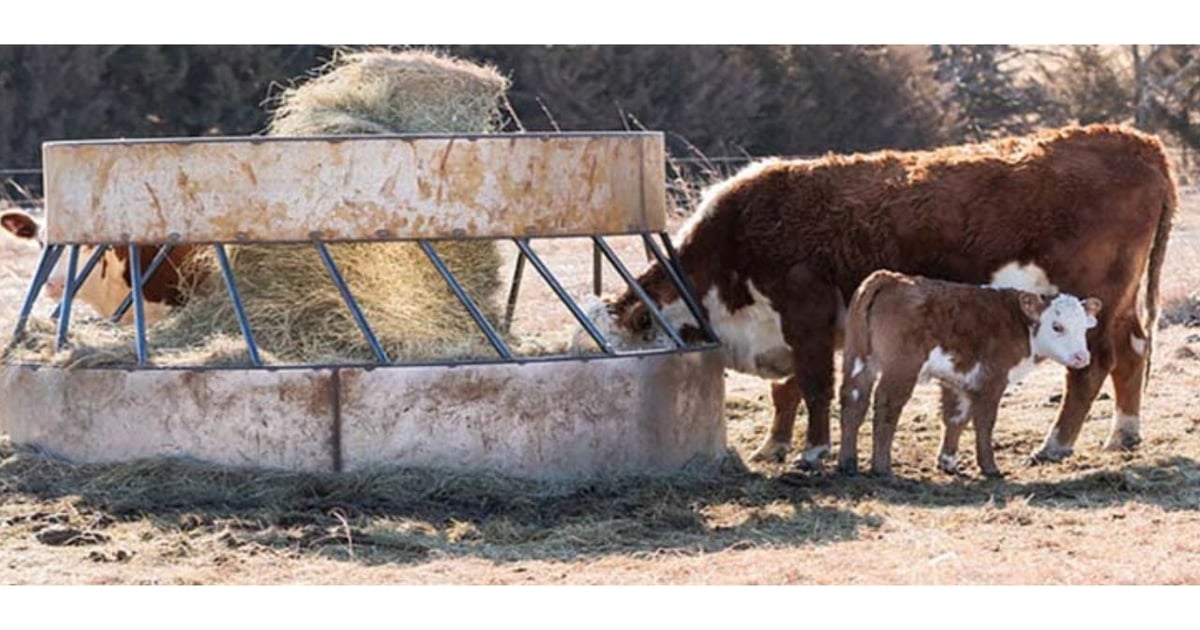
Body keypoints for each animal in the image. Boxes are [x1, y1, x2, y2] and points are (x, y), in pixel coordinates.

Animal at [837, 270, 1102, 477]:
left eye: (1084, 328)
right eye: (1057, 327)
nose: (1082, 357)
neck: (1020, 323)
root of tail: (890, 278)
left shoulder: (959, 381)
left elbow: (956, 418)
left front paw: (947, 462)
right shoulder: (992, 380)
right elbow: (984, 422)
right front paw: (990, 467)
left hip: (858, 359)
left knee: (853, 399)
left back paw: (847, 463)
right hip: (901, 368)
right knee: (887, 405)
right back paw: (882, 467)